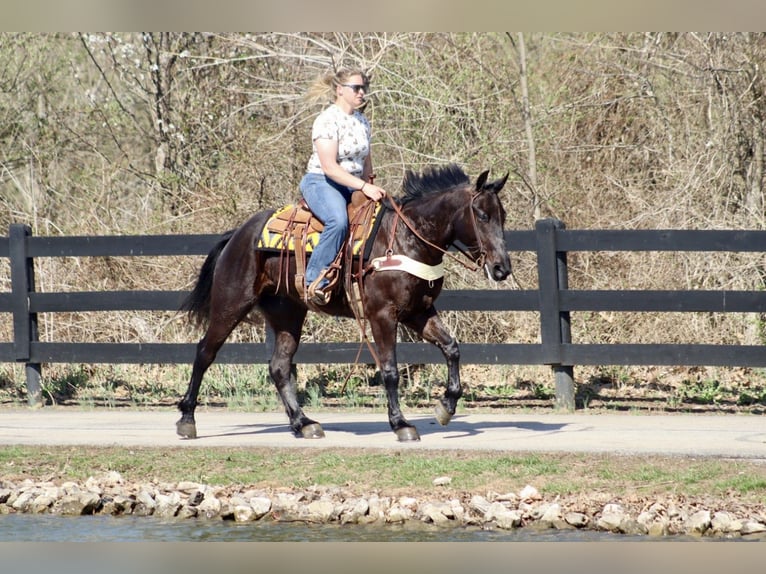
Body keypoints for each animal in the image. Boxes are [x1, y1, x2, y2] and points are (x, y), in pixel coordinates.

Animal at [177, 163, 511, 442]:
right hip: (231, 303)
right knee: (205, 352)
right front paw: (401, 424)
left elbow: (452, 348)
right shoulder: (382, 315)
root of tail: (238, 234)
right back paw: (187, 420)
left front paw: (446, 406)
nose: (501, 268)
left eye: (502, 216)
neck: (405, 239)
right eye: (482, 215)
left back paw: (303, 423)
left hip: (287, 314)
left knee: (279, 367)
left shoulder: (418, 312)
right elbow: (390, 370)